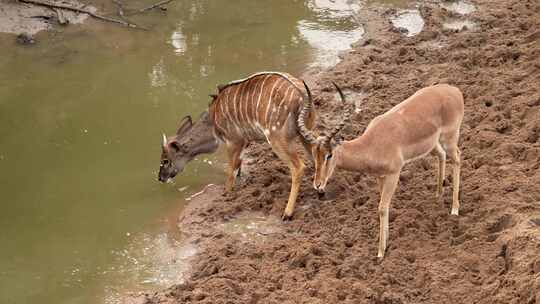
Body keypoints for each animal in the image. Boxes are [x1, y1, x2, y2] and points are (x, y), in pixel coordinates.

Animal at [157, 72, 316, 220]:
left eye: (165, 160)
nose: (160, 178)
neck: (212, 120)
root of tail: (302, 96)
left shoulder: (233, 141)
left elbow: (231, 171)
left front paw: (226, 194)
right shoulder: (243, 142)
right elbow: (238, 167)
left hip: (277, 139)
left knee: (299, 167)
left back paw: (287, 213)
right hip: (305, 133)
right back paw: (319, 191)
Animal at [300, 82, 464, 256]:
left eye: (329, 155)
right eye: (314, 154)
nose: (318, 184)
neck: (372, 143)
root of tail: (454, 90)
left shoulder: (394, 174)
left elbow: (382, 208)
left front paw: (380, 253)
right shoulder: (380, 176)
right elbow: (384, 206)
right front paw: (386, 241)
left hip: (449, 139)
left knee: (457, 158)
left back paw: (455, 209)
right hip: (433, 145)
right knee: (442, 155)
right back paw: (438, 194)